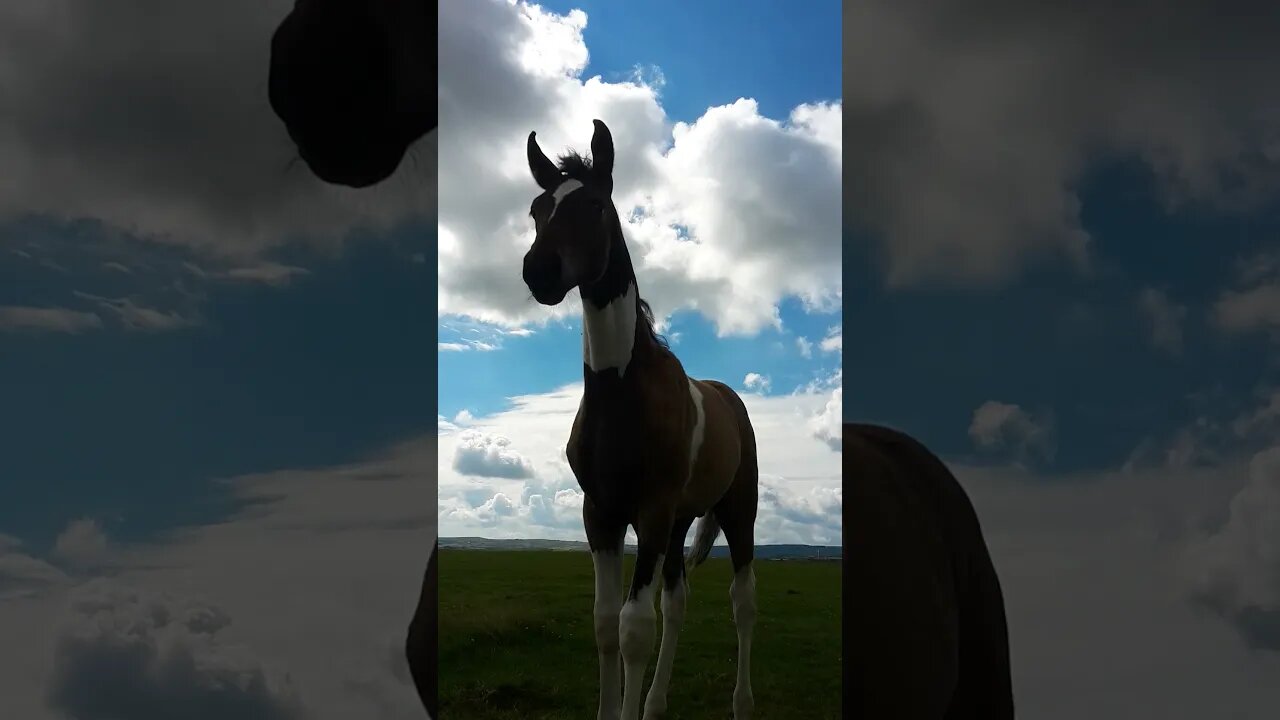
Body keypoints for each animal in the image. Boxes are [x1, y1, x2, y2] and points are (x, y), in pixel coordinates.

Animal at [521, 119, 760, 720]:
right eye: (538, 208)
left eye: (594, 205)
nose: (538, 272)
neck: (622, 393)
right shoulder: (601, 515)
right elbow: (607, 626)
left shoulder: (649, 512)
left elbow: (634, 629)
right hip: (678, 524)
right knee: (677, 603)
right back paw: (655, 704)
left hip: (736, 512)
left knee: (742, 602)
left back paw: (742, 702)